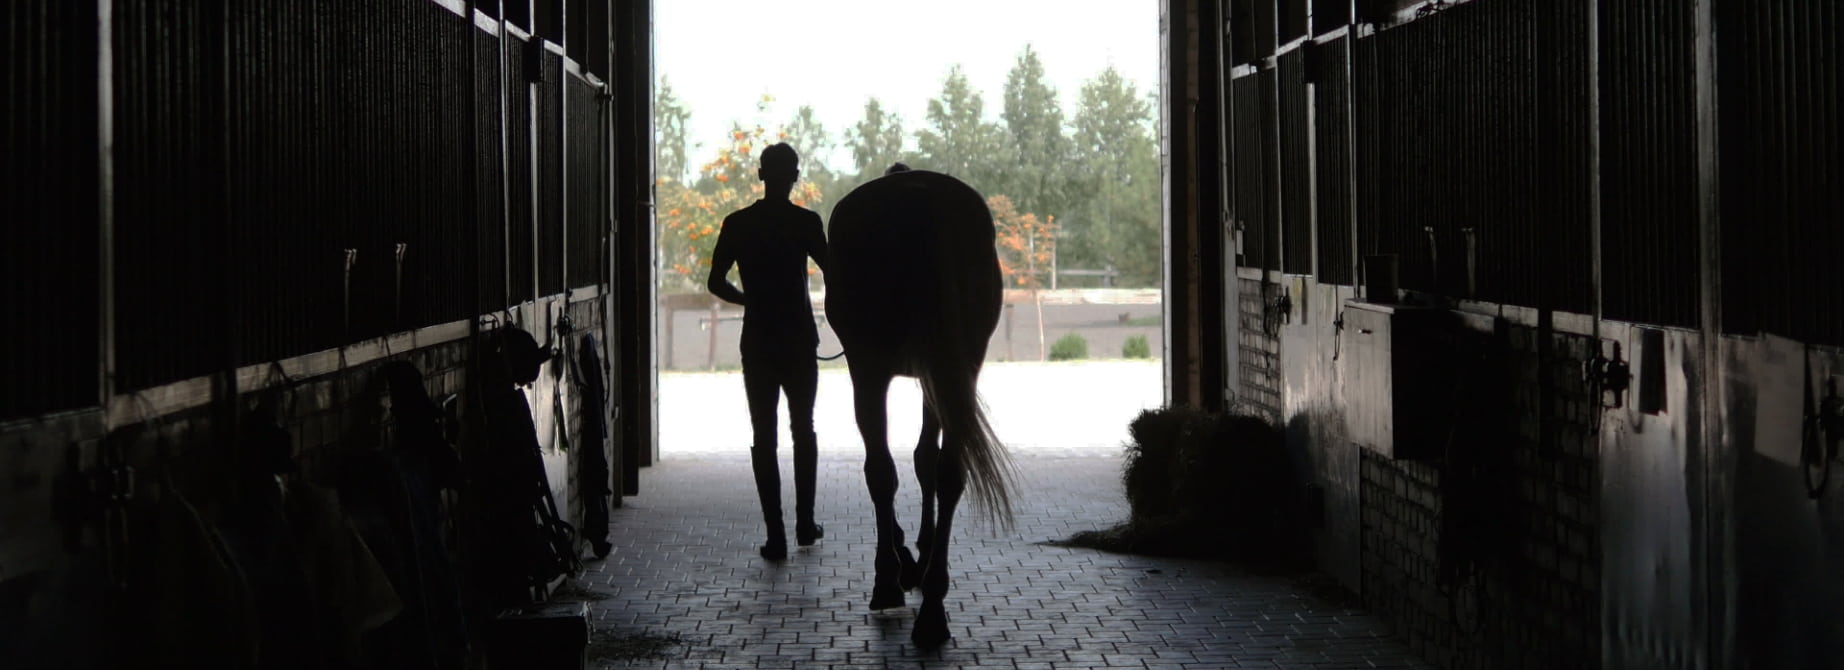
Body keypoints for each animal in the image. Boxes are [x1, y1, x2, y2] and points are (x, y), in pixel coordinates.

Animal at [826, 168, 1017, 649]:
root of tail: (918, 198)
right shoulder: (938, 374)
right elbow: (927, 461)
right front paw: (920, 555)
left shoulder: (869, 369)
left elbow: (888, 470)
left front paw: (893, 571)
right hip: (957, 366)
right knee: (950, 472)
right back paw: (932, 605)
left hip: (875, 367)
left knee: (883, 471)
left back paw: (905, 589)